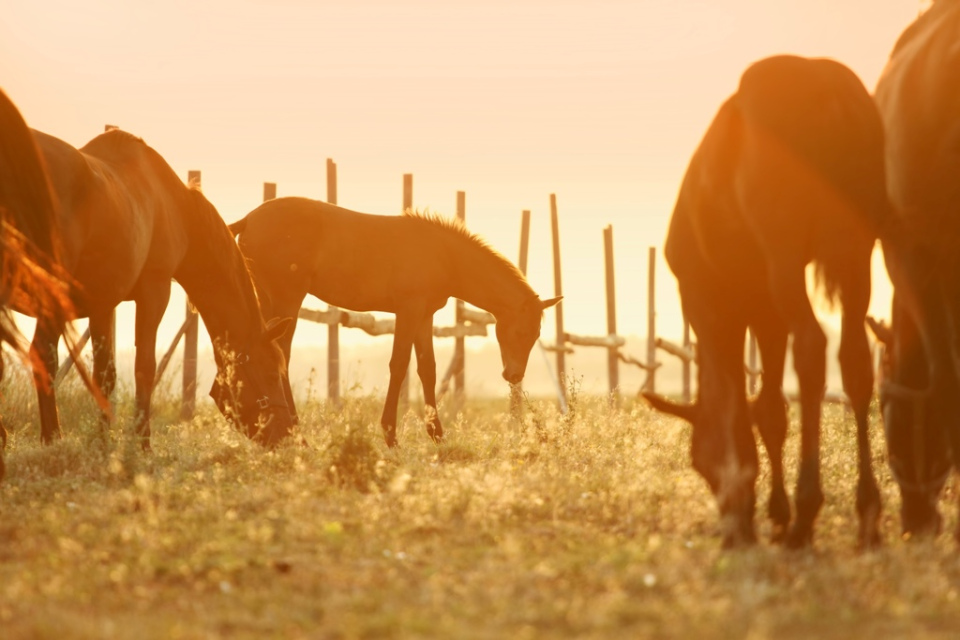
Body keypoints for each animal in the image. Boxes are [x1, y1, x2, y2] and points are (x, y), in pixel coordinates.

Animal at [25, 127, 296, 448]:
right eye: (271, 374)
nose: (285, 434)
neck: (173, 206)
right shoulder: (154, 291)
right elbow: (145, 367)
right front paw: (142, 442)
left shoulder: (103, 303)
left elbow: (105, 374)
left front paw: (103, 442)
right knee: (43, 355)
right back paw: (52, 439)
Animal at [231, 198, 564, 448]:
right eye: (521, 331)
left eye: (536, 335)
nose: (513, 374)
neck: (444, 254)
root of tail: (248, 220)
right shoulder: (408, 311)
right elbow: (400, 364)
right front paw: (390, 435)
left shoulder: (424, 316)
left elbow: (427, 369)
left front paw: (437, 435)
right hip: (286, 299)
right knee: (281, 355)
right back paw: (294, 430)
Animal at [640, 55, 896, 548]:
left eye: (697, 462)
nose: (733, 525)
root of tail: (825, 85)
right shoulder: (763, 310)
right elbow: (770, 408)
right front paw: (776, 510)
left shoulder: (714, 305)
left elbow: (745, 400)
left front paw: (776, 510)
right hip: (857, 249)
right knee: (855, 359)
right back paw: (867, 512)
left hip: (785, 252)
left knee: (813, 346)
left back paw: (806, 512)